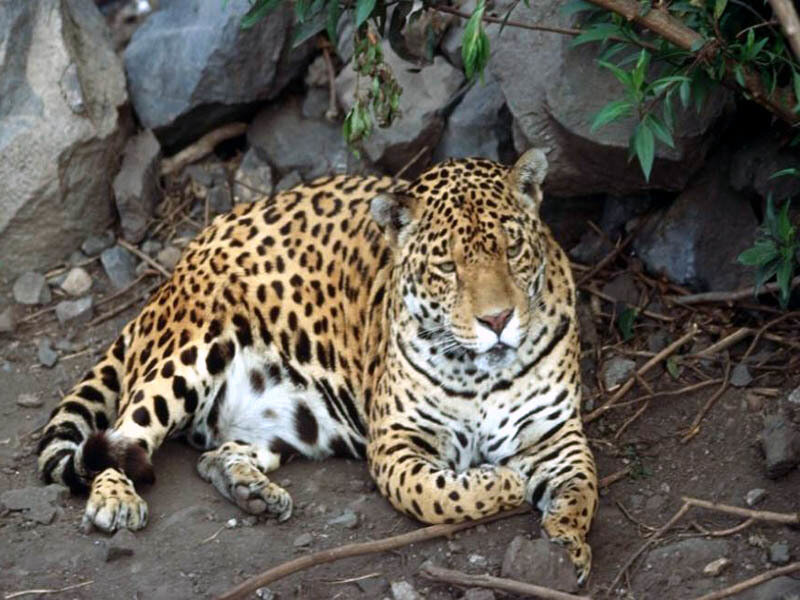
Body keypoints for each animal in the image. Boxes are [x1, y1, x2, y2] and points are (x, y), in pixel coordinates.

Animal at [37, 149, 598, 582]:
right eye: (447, 267)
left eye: (513, 249)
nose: (498, 319)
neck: (483, 372)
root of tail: (175, 270)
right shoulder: (395, 444)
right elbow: (442, 495)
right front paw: (504, 482)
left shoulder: (557, 435)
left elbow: (582, 491)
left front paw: (565, 546)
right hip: (186, 357)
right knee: (124, 434)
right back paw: (116, 500)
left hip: (287, 418)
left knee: (212, 454)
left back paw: (251, 491)